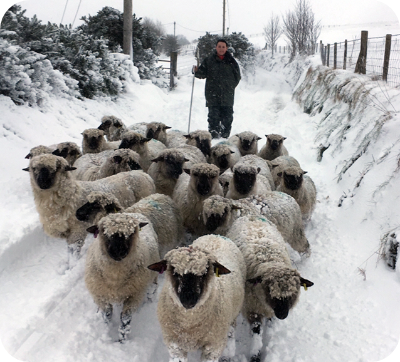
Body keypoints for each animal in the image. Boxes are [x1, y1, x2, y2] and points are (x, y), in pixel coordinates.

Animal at [23, 155, 155, 258]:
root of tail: (142, 173)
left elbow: (73, 251)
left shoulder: (78, 230)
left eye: (56, 168)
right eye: (33, 168)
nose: (42, 182)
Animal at [85, 211, 159, 340]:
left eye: (131, 233)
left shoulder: (134, 295)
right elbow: (107, 314)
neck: (115, 276)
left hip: (152, 277)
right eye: (104, 232)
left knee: (152, 290)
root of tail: (135, 212)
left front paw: (122, 339)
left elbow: (125, 319)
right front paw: (106, 329)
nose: (119, 251)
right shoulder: (100, 295)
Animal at [225, 215, 312, 362]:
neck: (269, 260)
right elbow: (256, 333)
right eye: (270, 292)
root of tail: (251, 215)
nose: (282, 315)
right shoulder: (252, 309)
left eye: (293, 294)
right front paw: (255, 355)